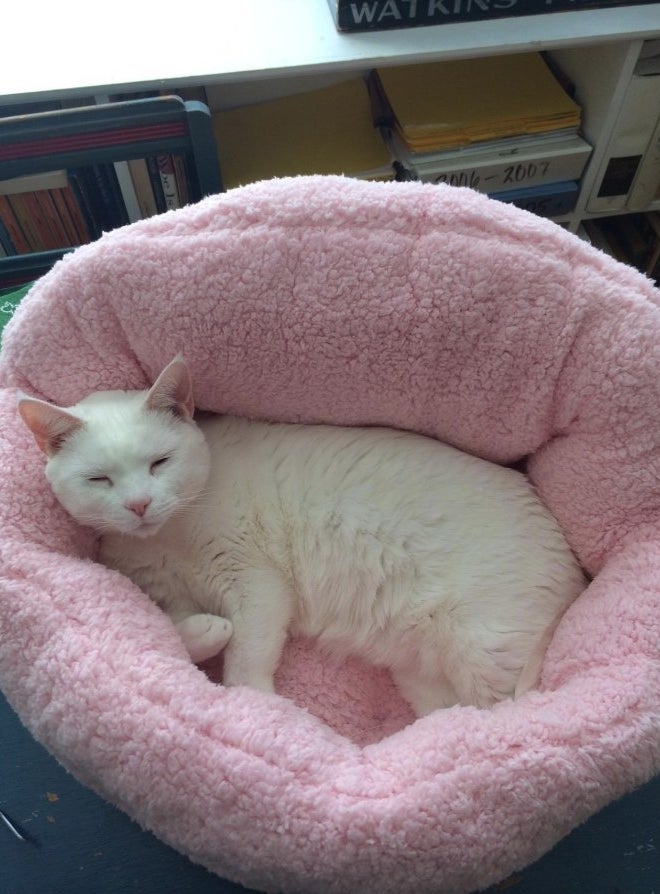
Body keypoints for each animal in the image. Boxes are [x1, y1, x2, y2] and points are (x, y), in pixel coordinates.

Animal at [18, 360, 584, 716]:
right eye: (99, 479)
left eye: (160, 462)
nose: (138, 504)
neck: (171, 537)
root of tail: (576, 574)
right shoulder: (163, 592)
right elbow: (167, 627)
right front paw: (207, 632)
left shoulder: (258, 584)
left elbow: (247, 655)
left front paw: (255, 707)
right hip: (425, 674)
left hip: (485, 648)